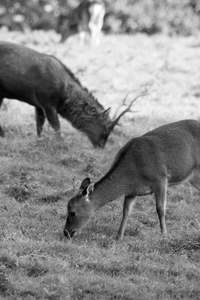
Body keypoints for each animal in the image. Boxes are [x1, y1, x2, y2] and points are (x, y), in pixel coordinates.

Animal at [64, 119, 200, 239]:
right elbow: (126, 211)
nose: (66, 232)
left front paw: (164, 235)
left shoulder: (160, 179)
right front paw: (119, 237)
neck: (132, 174)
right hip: (193, 178)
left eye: (72, 212)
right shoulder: (132, 191)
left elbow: (160, 209)